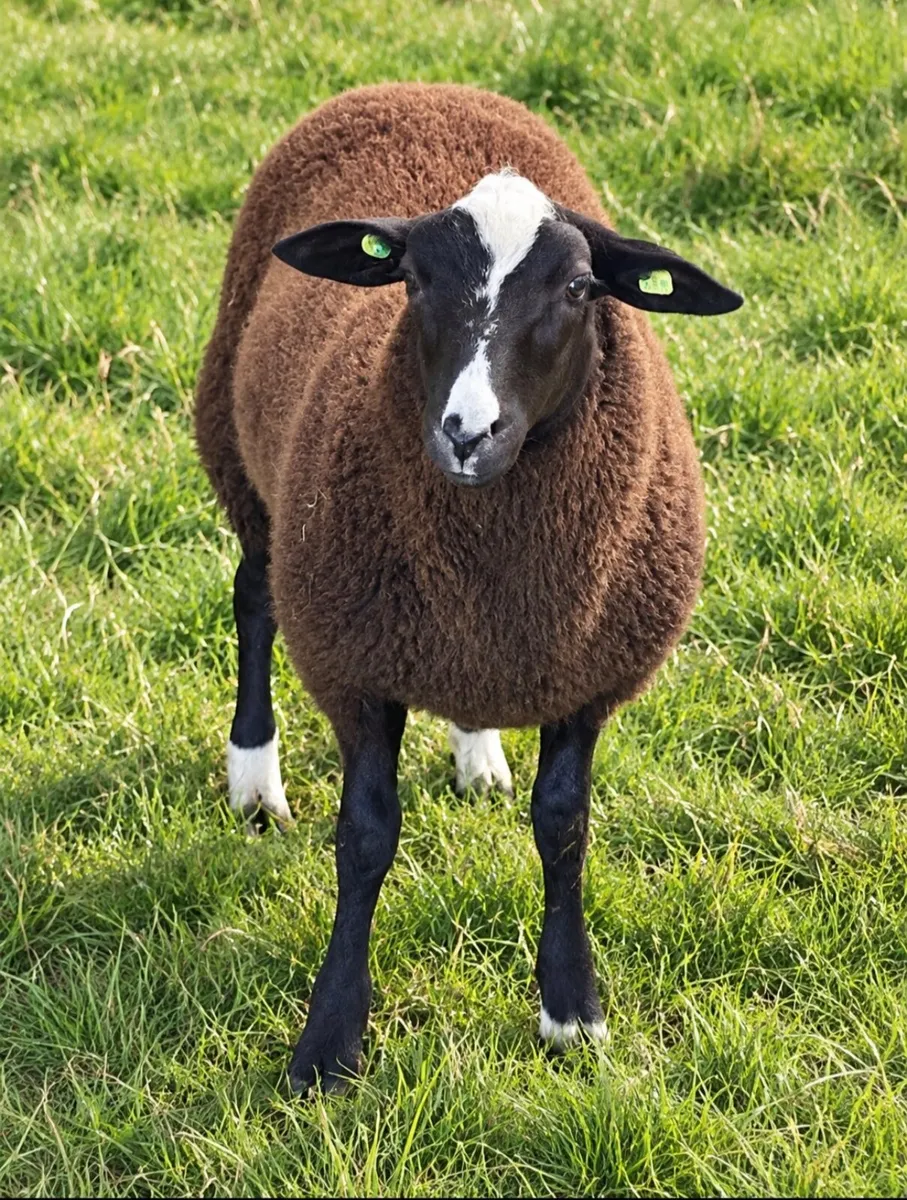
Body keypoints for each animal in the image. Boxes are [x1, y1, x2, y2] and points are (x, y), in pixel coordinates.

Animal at [194, 81, 742, 1094]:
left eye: (578, 290)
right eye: (410, 282)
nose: (465, 433)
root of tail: (415, 86)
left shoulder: (588, 674)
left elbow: (563, 826)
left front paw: (571, 1013)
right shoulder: (356, 666)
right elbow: (365, 837)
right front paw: (328, 1044)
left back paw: (476, 751)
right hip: (243, 464)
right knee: (254, 600)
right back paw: (254, 777)